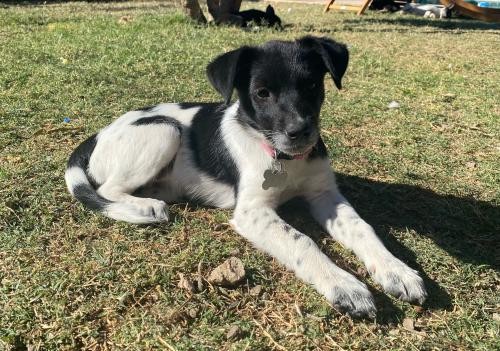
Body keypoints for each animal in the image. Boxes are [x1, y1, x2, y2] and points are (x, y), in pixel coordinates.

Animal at [65, 36, 426, 320]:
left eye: (312, 85)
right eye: (262, 93)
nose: (300, 133)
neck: (282, 158)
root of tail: (99, 134)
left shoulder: (325, 195)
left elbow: (363, 229)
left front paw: (396, 270)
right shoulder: (252, 211)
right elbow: (302, 240)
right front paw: (344, 285)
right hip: (163, 130)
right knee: (108, 188)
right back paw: (144, 207)